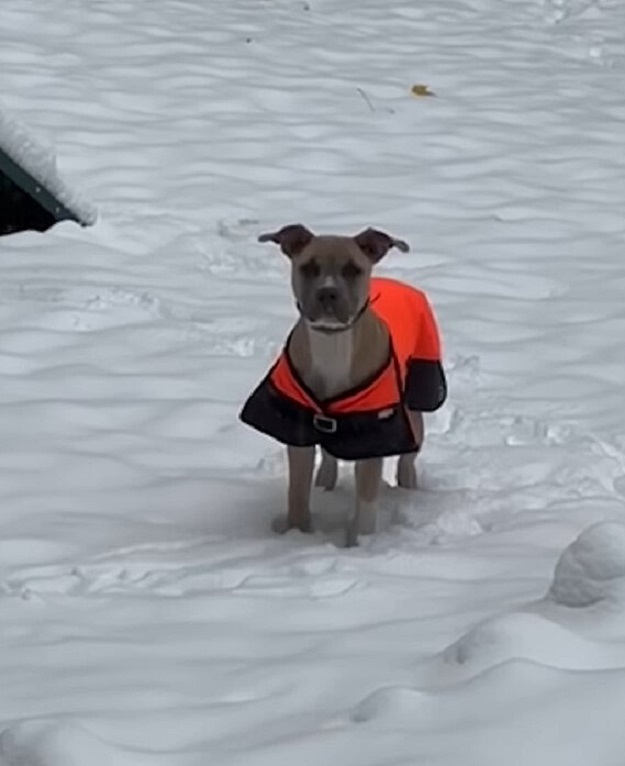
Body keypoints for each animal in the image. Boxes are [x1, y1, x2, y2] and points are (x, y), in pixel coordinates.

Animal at [236, 222, 446, 544]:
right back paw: (324, 482)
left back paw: (408, 489)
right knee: (329, 453)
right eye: (309, 267)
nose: (328, 293)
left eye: (352, 269)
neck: (332, 344)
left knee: (408, 456)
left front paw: (360, 543)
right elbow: (297, 493)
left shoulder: (374, 431)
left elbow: (367, 501)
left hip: (416, 400)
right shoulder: (297, 425)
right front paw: (296, 535)